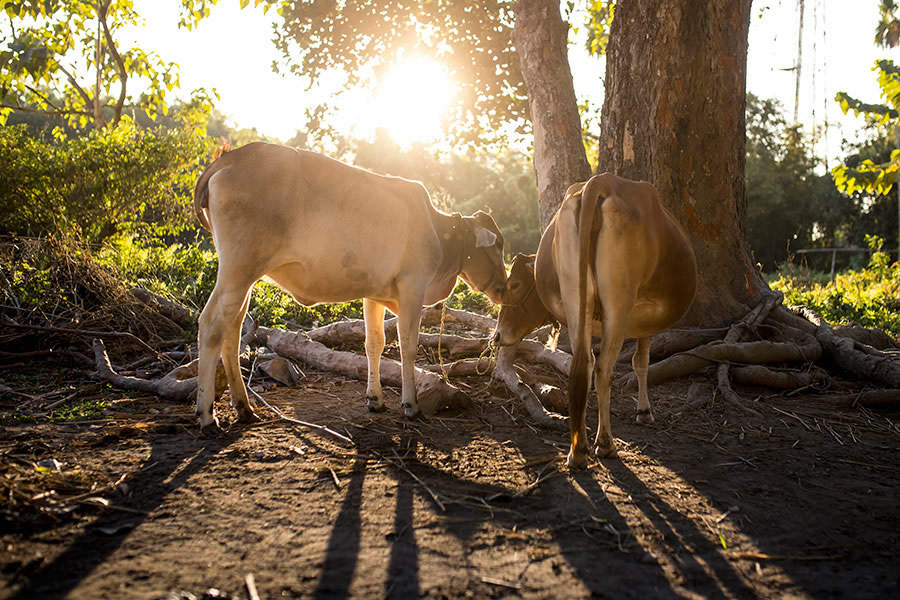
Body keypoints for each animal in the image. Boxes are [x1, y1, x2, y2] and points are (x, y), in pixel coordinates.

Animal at [192, 143, 506, 434]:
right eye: (499, 245)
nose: (504, 288)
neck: (440, 232)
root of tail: (234, 156)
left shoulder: (375, 294)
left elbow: (375, 343)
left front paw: (375, 399)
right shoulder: (413, 285)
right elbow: (407, 345)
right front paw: (411, 405)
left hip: (244, 280)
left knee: (232, 332)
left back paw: (244, 408)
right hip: (238, 271)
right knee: (211, 325)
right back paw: (207, 415)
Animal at [492, 173, 696, 468]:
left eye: (515, 285)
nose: (496, 335)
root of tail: (601, 181)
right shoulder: (642, 318)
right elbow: (641, 361)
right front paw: (644, 411)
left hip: (576, 297)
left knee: (583, 366)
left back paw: (578, 449)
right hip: (619, 302)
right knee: (602, 369)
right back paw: (605, 444)